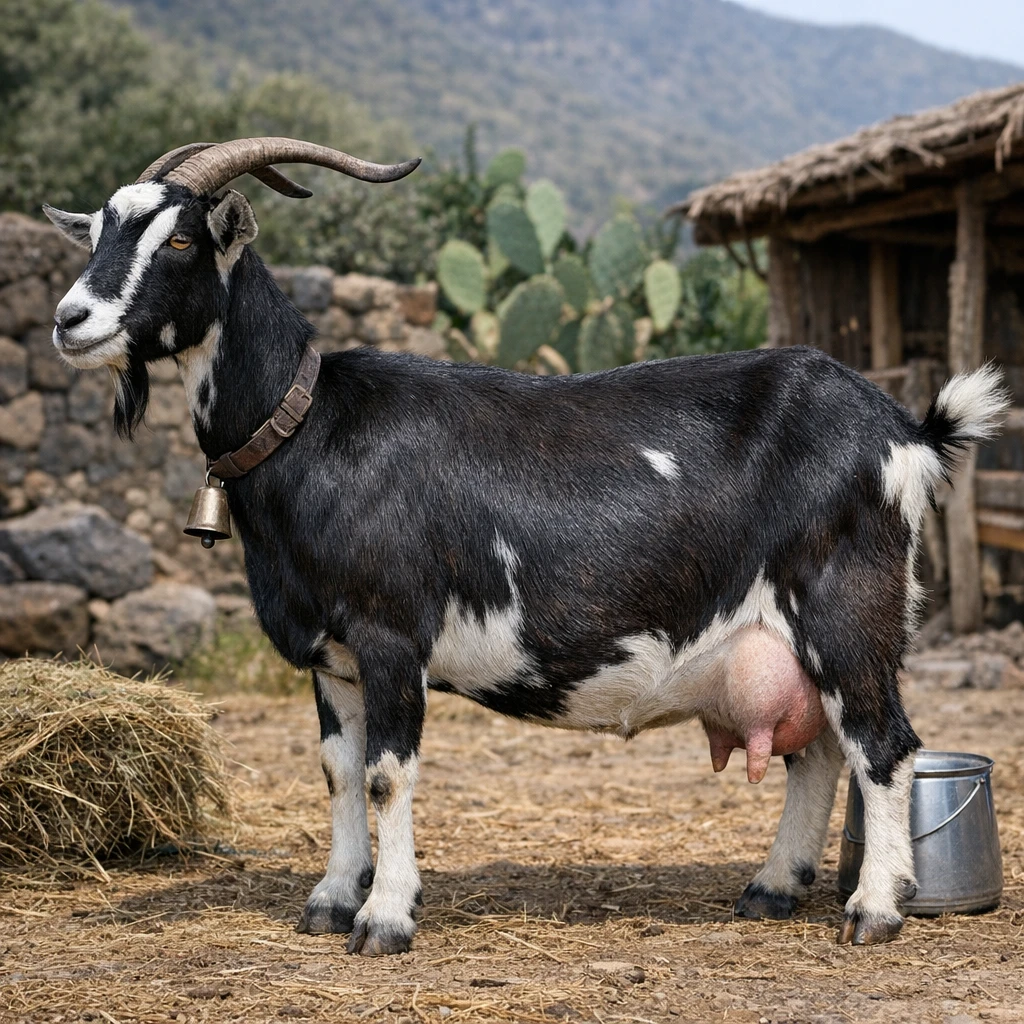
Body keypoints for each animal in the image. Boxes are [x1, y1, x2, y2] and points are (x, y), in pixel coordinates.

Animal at [45, 137, 1008, 955]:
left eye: (178, 240)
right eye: (97, 228)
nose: (70, 319)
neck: (312, 426)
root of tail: (904, 428)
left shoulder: (392, 634)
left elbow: (387, 774)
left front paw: (385, 918)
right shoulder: (332, 655)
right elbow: (337, 770)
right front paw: (329, 900)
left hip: (850, 606)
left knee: (883, 745)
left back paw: (875, 909)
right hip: (787, 634)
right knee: (817, 749)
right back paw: (773, 888)